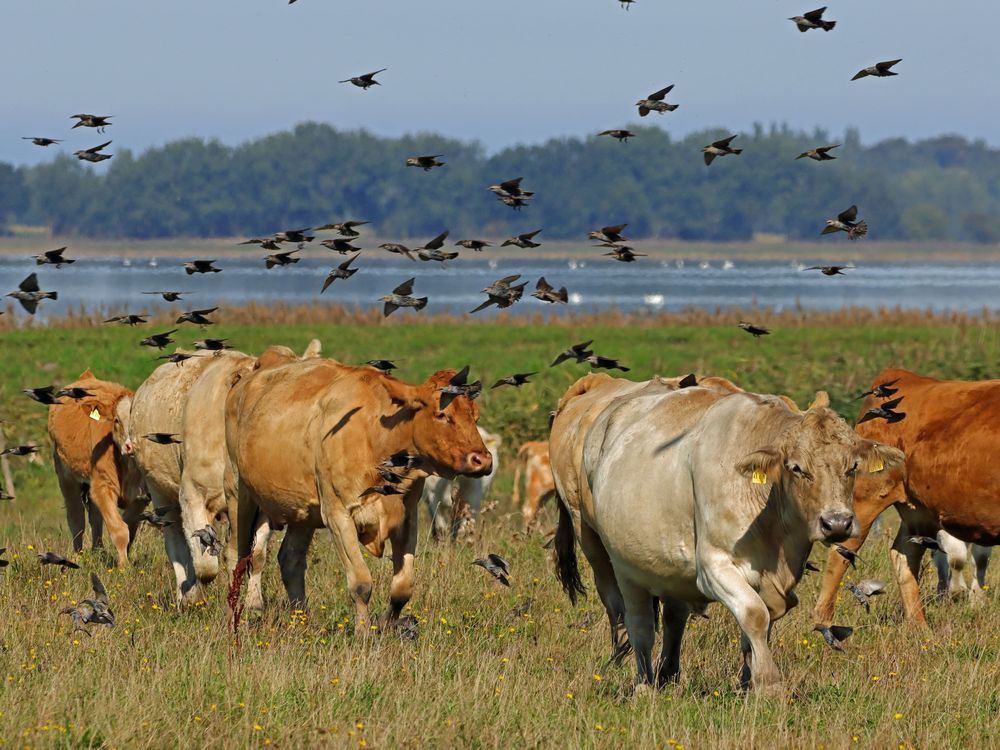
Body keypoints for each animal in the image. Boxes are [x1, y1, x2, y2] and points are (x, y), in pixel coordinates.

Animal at [47, 368, 146, 568]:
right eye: (117, 420)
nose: (130, 446)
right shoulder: (102, 486)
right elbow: (119, 530)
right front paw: (124, 568)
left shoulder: (141, 496)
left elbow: (129, 526)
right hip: (66, 477)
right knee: (76, 517)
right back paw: (77, 557)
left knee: (95, 518)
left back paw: (98, 552)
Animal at [227, 358, 492, 636]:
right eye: (442, 415)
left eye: (475, 417)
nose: (482, 460)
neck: (376, 436)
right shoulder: (338, 515)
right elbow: (361, 583)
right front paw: (363, 633)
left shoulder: (407, 516)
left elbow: (403, 587)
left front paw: (386, 624)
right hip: (238, 494)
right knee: (238, 555)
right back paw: (235, 617)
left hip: (302, 512)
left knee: (289, 559)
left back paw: (302, 621)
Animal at [556, 384, 908, 692]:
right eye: (796, 468)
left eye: (852, 467)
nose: (837, 524)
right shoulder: (714, 567)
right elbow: (754, 615)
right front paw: (768, 684)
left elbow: (760, 624)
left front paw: (747, 681)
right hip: (619, 564)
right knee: (638, 624)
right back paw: (644, 685)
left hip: (669, 569)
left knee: (673, 619)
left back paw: (668, 675)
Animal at [816, 368, 1000, 628]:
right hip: (866, 499)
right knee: (840, 552)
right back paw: (823, 620)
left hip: (919, 512)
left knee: (905, 554)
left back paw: (919, 625)